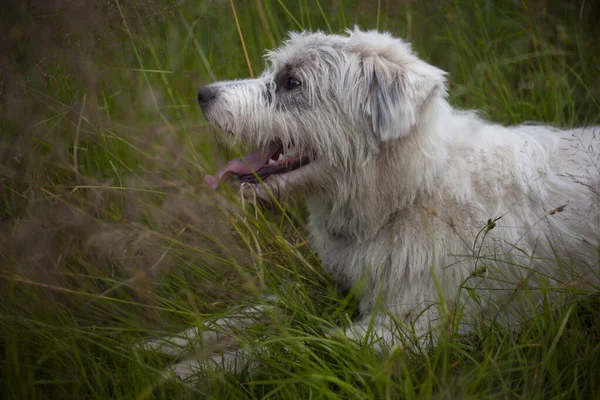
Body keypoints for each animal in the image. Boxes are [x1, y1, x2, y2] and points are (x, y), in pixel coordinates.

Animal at [148, 28, 596, 382]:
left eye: (292, 82)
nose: (202, 94)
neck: (410, 192)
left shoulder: (401, 333)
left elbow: (286, 344)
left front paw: (185, 373)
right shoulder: (333, 285)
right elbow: (253, 311)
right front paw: (157, 347)